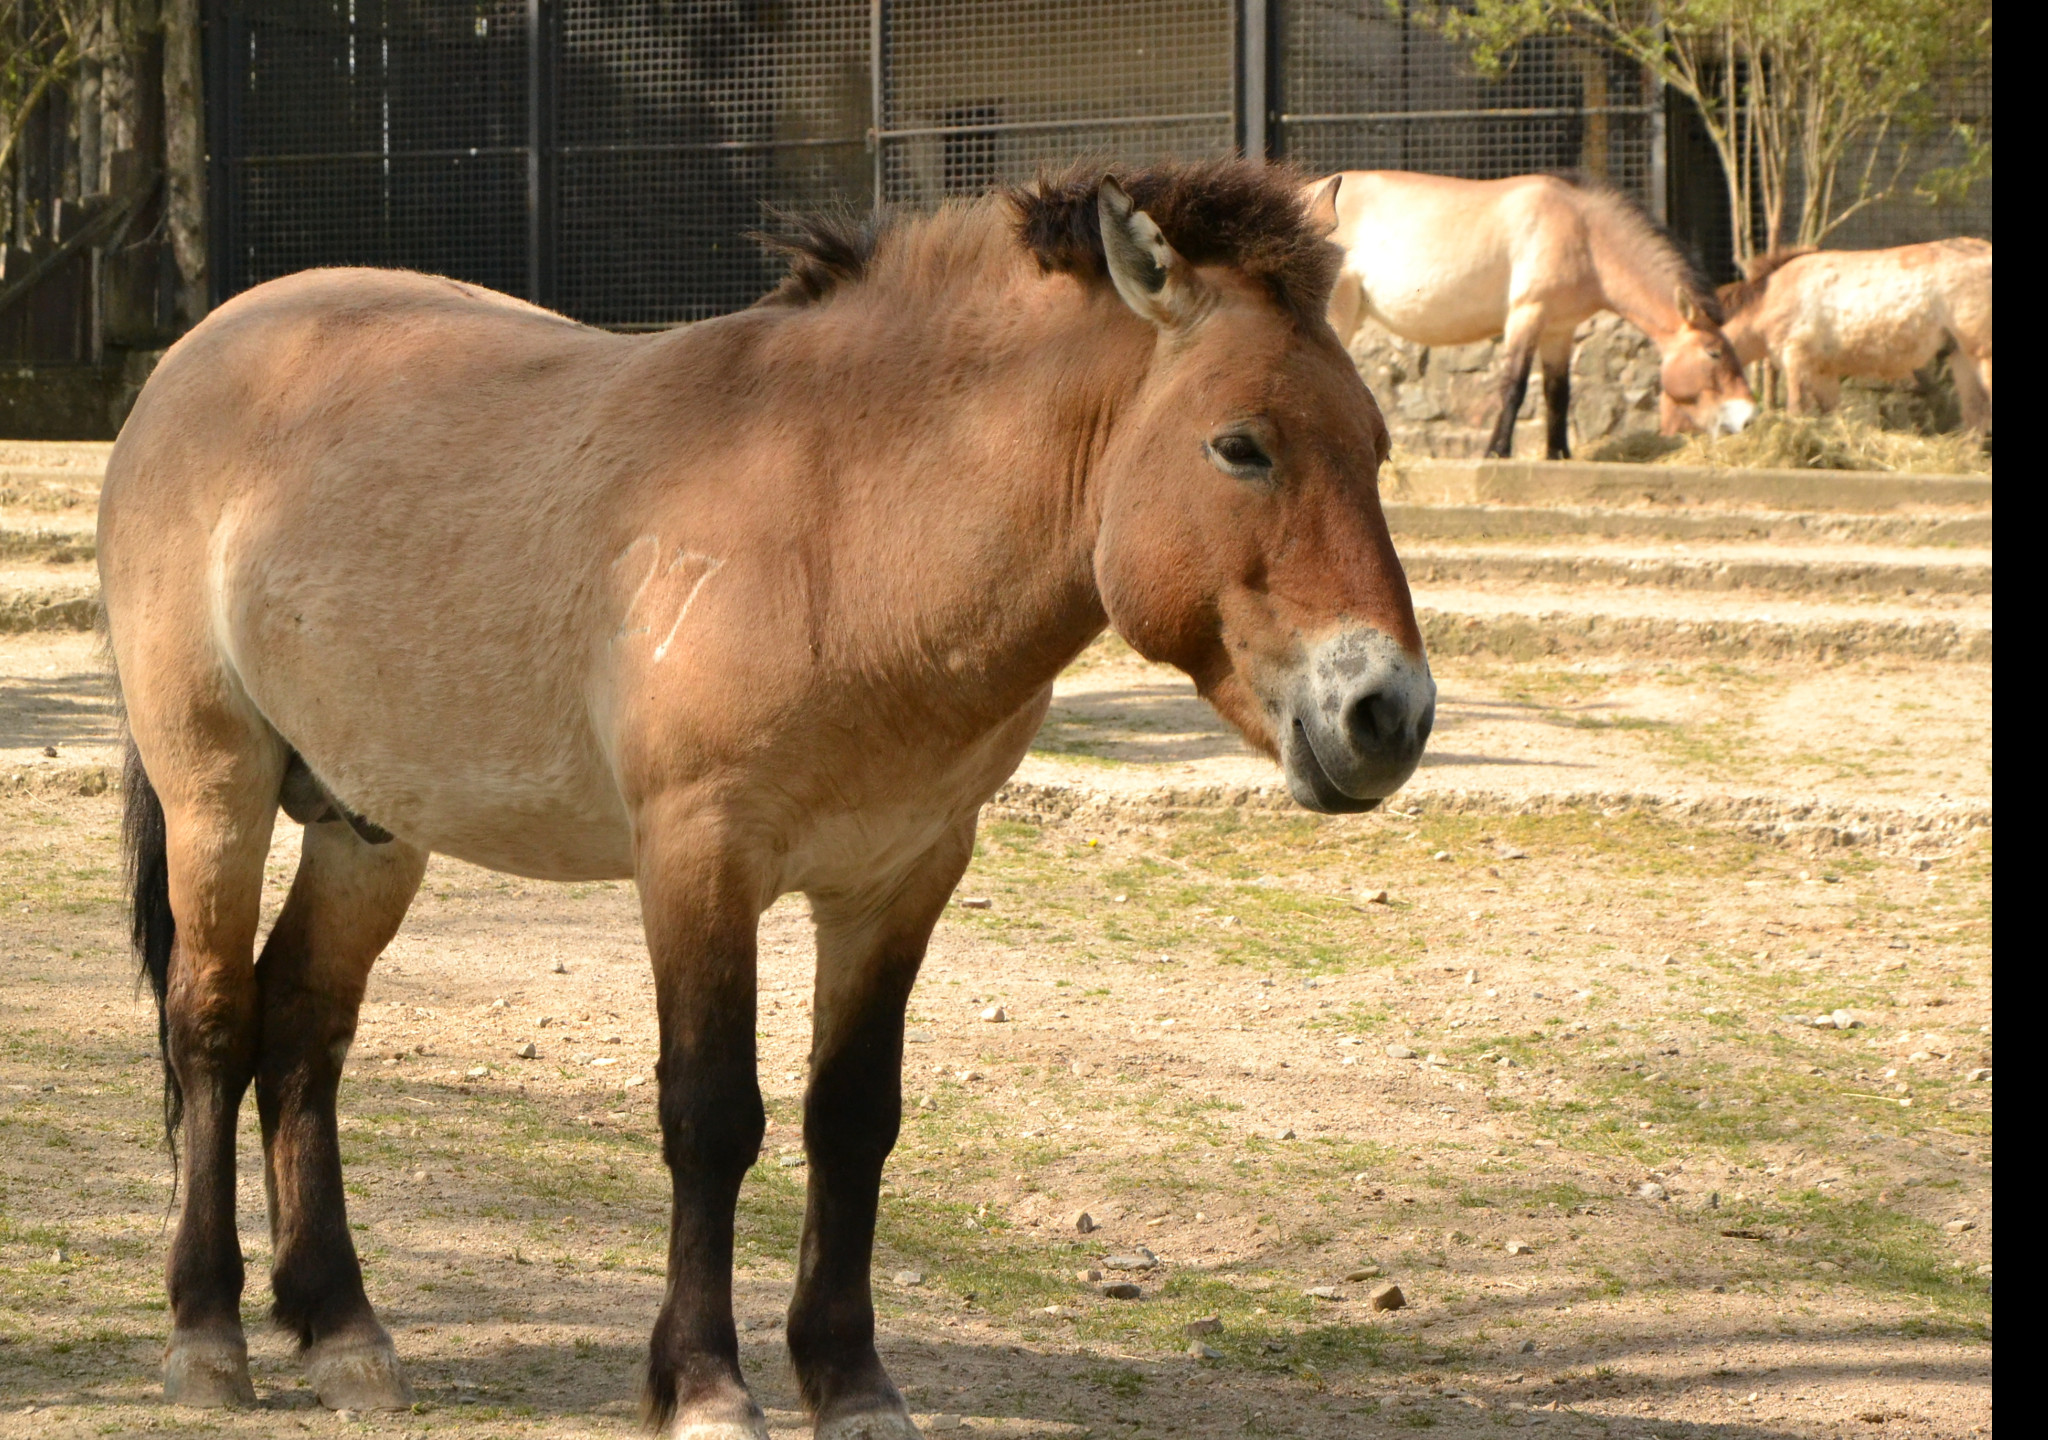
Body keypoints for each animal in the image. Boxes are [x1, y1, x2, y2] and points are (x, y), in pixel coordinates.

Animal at [99, 157, 1441, 1440]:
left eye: (1374, 448)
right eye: (1239, 445)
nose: (1389, 714)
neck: (840, 528)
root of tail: (196, 357)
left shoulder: (902, 876)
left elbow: (851, 1120)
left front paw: (850, 1384)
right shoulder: (700, 857)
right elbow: (710, 1115)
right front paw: (703, 1385)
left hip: (368, 824)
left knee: (303, 1027)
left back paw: (343, 1334)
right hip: (216, 786)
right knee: (212, 1021)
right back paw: (208, 1337)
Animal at [1318, 172, 1753, 458]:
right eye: (1714, 352)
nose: (1747, 417)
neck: (1583, 235)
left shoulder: (1559, 330)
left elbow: (1558, 393)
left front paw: (1558, 453)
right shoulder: (1527, 315)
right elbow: (1514, 386)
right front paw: (1497, 451)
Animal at [1720, 240, 1990, 434]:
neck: (1769, 298)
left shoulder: (1797, 360)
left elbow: (1797, 410)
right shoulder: (1824, 373)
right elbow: (1832, 415)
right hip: (1962, 356)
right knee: (1975, 415)